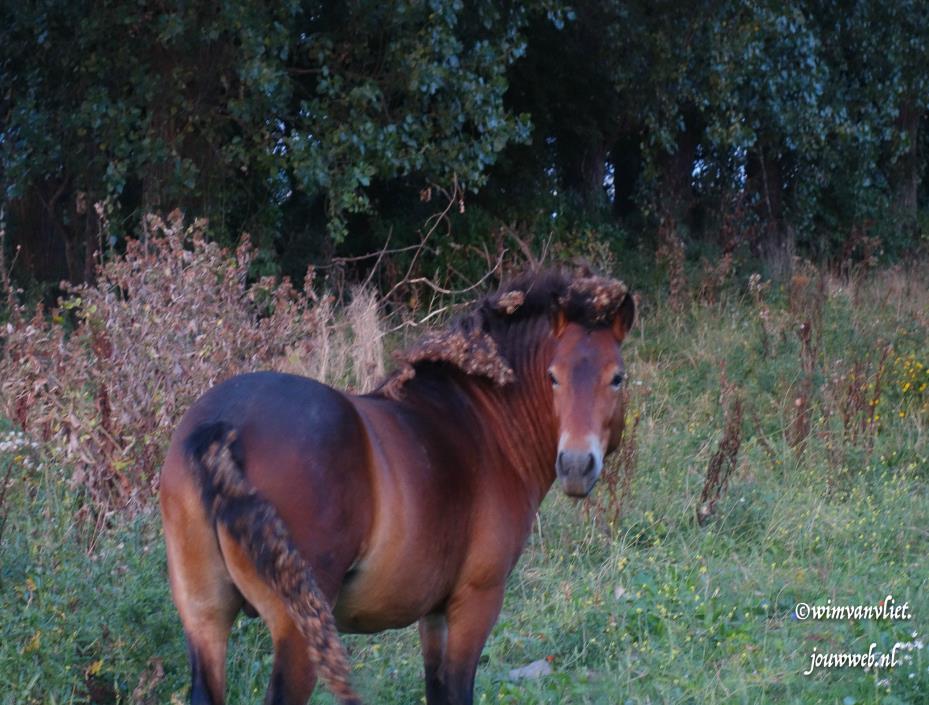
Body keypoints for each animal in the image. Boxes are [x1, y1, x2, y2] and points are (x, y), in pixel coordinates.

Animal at [160, 266, 636, 700]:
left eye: (617, 377)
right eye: (553, 376)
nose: (576, 464)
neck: (484, 424)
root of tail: (224, 424)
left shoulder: (435, 614)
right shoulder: (475, 602)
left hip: (204, 619)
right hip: (297, 630)